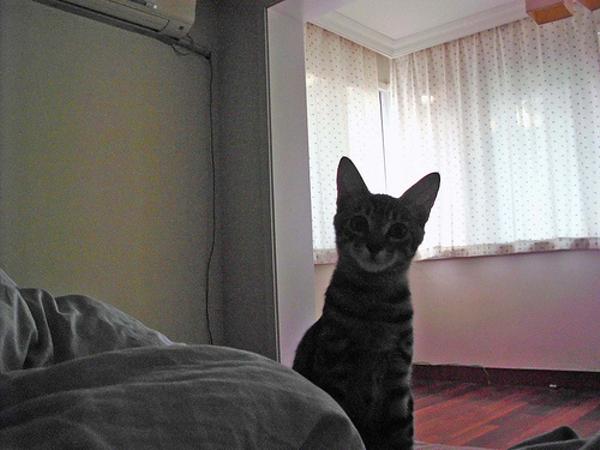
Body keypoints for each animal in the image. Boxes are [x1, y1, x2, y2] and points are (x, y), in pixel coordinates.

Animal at [293, 157, 440, 450]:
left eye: (398, 230)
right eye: (359, 222)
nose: (374, 245)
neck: (374, 301)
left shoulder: (398, 378)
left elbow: (400, 433)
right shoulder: (335, 366)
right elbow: (351, 424)